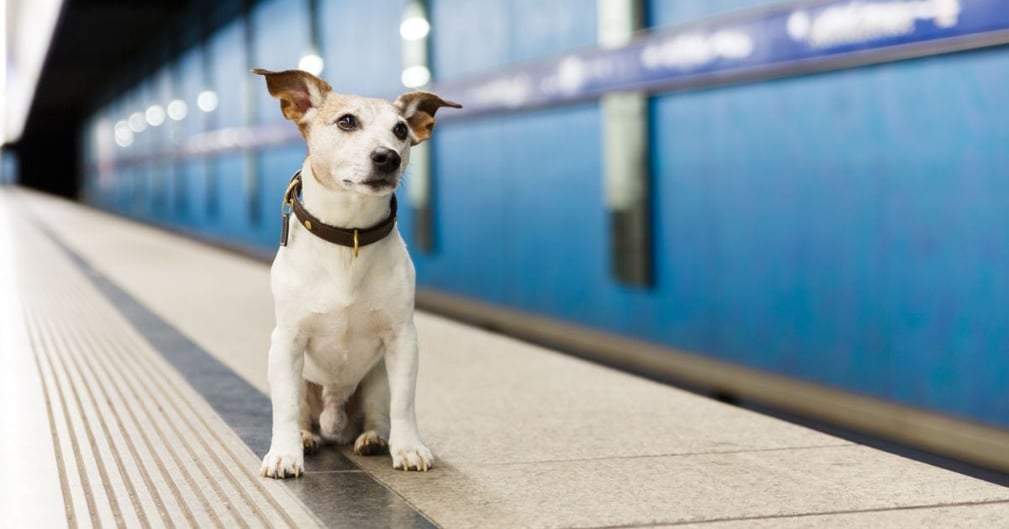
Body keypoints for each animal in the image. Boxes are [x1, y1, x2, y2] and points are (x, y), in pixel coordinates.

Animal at [251, 68, 462, 476]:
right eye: (346, 121)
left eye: (400, 130)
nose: (387, 157)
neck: (349, 236)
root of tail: (335, 423)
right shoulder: (286, 342)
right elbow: (284, 409)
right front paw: (284, 453)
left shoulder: (403, 340)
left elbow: (404, 404)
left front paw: (408, 447)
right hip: (305, 382)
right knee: (301, 413)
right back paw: (305, 437)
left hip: (376, 380)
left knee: (380, 412)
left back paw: (374, 439)